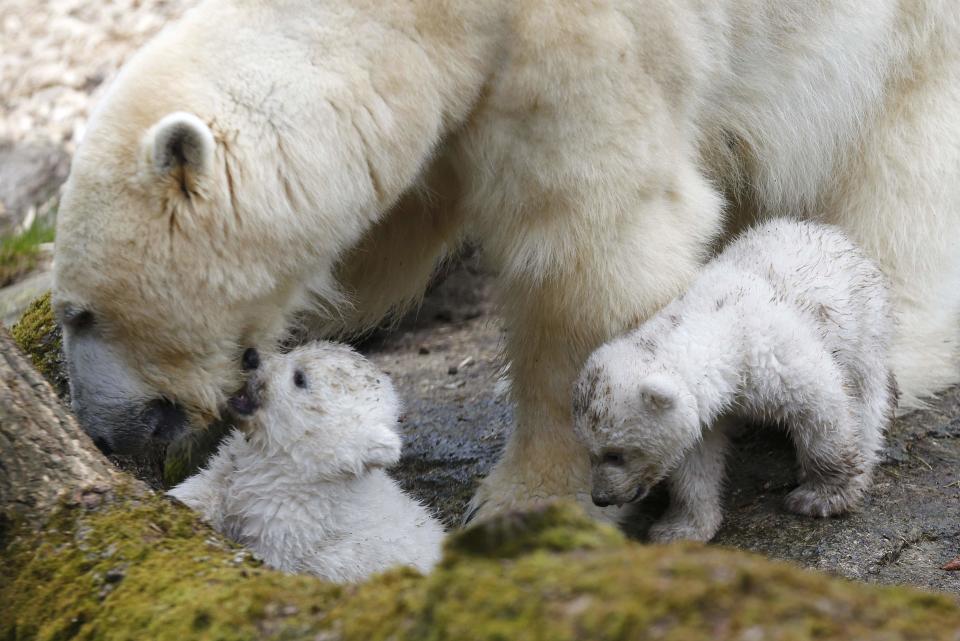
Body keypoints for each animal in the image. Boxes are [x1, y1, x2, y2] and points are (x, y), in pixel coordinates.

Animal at [54, 1, 960, 520]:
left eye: (82, 312)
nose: (104, 432)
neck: (429, 15)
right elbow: (380, 239)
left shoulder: (586, 41)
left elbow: (588, 249)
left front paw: (528, 497)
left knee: (899, 168)